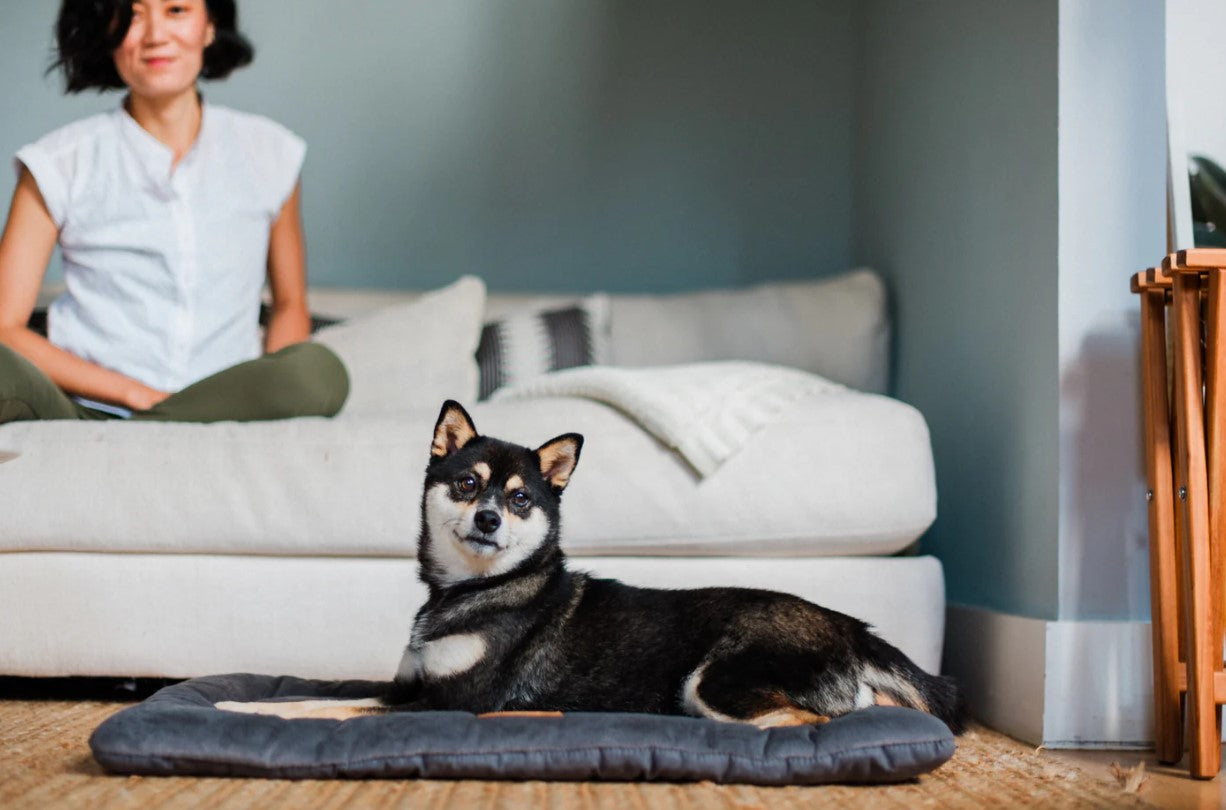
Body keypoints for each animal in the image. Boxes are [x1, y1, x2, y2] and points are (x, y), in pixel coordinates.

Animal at [218, 399, 966, 735]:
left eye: (520, 498)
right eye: (466, 484)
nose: (489, 519)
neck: (478, 590)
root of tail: (849, 627)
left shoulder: (450, 701)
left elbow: (330, 707)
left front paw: (240, 705)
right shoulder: (410, 683)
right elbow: (324, 691)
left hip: (716, 683)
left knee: (823, 719)